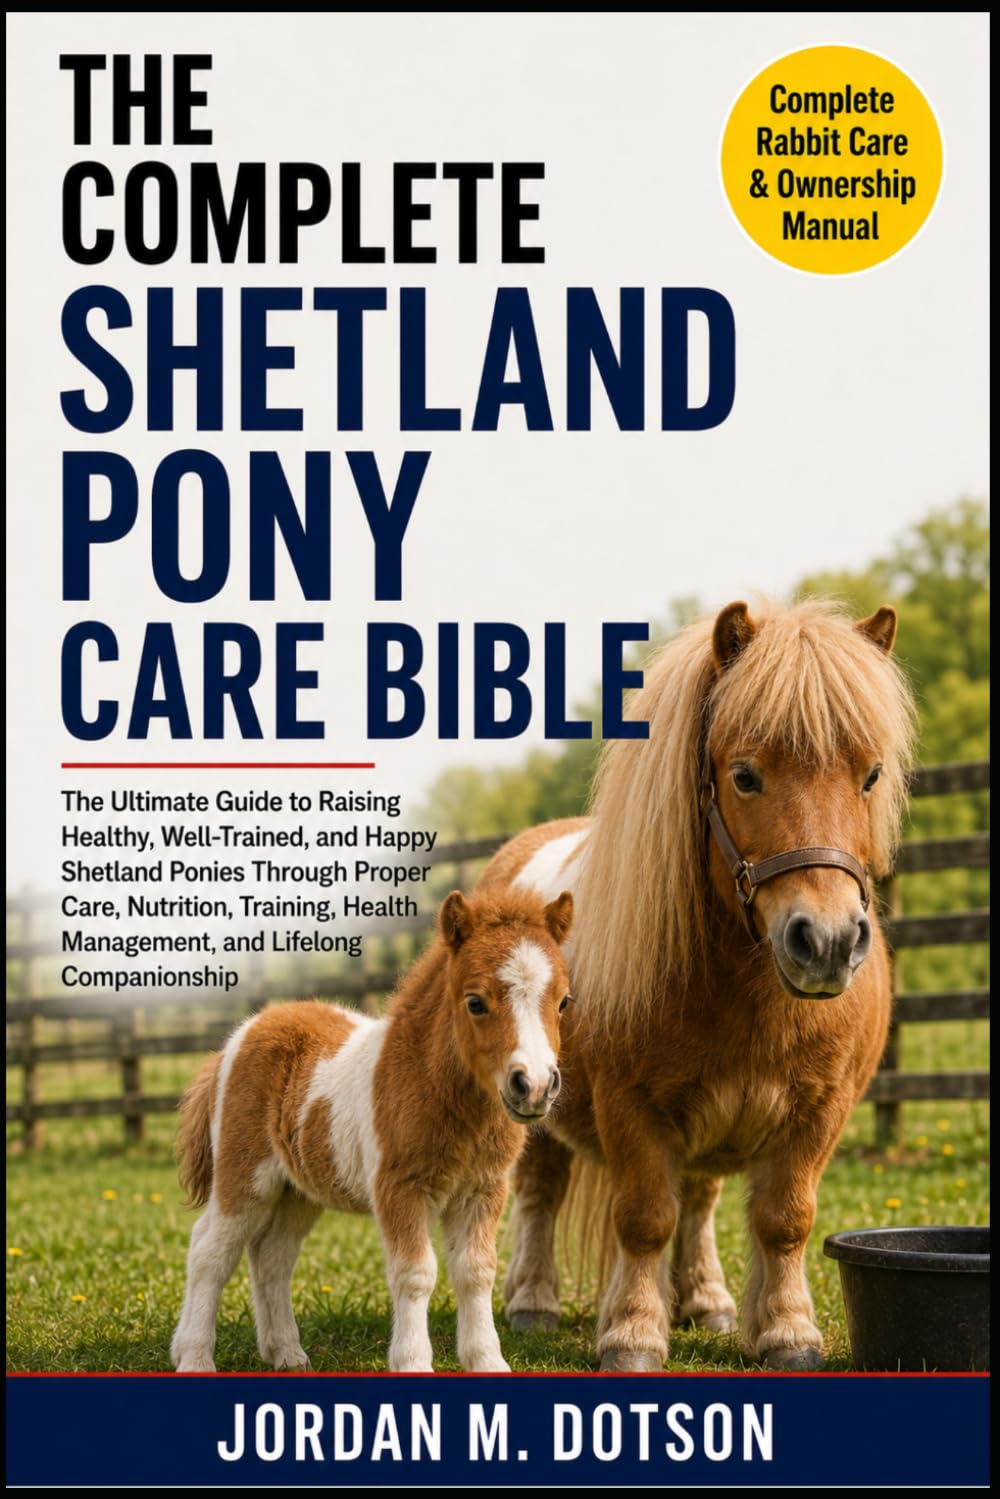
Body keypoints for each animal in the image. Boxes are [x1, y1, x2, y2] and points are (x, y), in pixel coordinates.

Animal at [170, 886, 574, 1374]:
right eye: (475, 1002)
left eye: (563, 1002)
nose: (533, 1086)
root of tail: (244, 1033)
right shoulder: (400, 1188)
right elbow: (416, 1273)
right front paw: (413, 1363)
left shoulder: (484, 1189)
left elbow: (476, 1273)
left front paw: (487, 1362)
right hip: (244, 1175)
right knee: (210, 1249)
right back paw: (193, 1357)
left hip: (298, 1191)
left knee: (272, 1256)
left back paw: (286, 1354)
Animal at [476, 598, 915, 1370]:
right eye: (745, 776)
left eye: (869, 775)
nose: (828, 942)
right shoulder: (631, 1110)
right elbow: (644, 1219)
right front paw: (632, 1335)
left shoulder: (819, 1112)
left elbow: (783, 1218)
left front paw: (786, 1331)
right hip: (536, 1108)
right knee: (540, 1194)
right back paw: (532, 1301)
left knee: (702, 1197)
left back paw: (705, 1301)